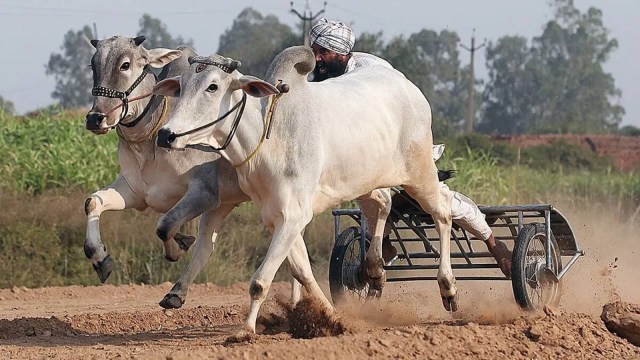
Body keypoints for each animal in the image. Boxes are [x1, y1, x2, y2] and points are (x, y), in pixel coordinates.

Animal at [154, 45, 456, 334]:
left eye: (213, 86)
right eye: (181, 85)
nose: (166, 135)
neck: (268, 135)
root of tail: (407, 84)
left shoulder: (294, 215)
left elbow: (260, 282)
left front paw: (245, 330)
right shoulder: (277, 217)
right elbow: (302, 271)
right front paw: (334, 318)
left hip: (420, 174)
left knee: (443, 213)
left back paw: (448, 287)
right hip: (367, 181)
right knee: (382, 205)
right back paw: (374, 268)